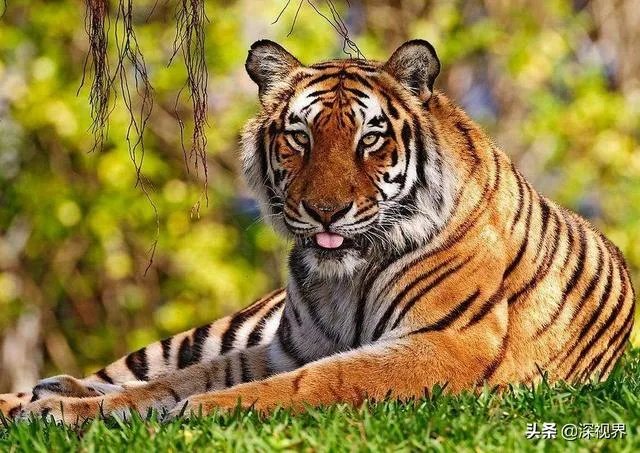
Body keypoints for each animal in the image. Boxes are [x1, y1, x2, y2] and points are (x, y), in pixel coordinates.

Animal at [0, 39, 635, 424]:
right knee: (119, 374)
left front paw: (197, 412)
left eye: (370, 138)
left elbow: (314, 382)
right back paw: (45, 393)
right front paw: (70, 412)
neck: (344, 278)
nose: (325, 210)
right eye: (299, 137)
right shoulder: (286, 346)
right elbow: (175, 382)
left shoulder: (446, 343)